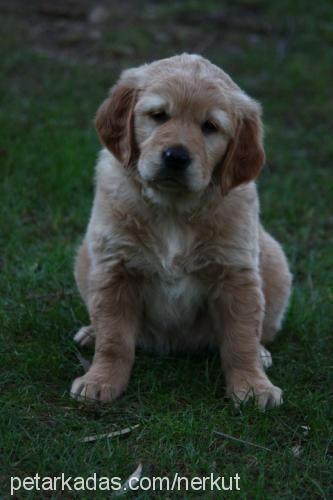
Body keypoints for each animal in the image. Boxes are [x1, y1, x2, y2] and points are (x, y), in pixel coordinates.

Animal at [70, 53, 290, 410]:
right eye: (159, 115)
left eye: (210, 127)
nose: (176, 156)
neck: (173, 209)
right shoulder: (115, 267)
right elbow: (114, 338)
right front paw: (100, 380)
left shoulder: (235, 272)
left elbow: (240, 338)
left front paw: (252, 385)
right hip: (85, 259)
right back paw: (91, 333)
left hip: (275, 265)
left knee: (258, 329)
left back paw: (261, 353)